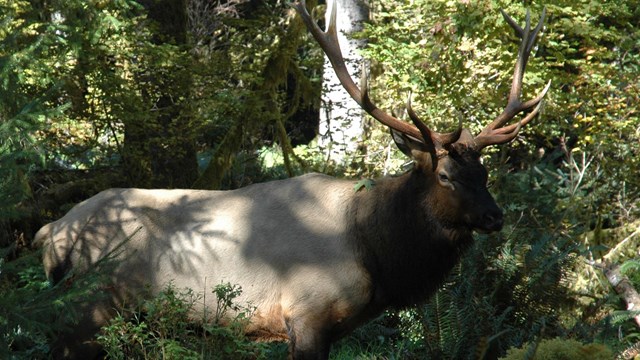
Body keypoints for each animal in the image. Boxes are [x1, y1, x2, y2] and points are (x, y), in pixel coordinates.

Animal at [35, 1, 548, 358]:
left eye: (484, 171)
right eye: (444, 174)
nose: (495, 216)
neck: (375, 254)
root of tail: (51, 232)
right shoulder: (306, 314)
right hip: (86, 308)